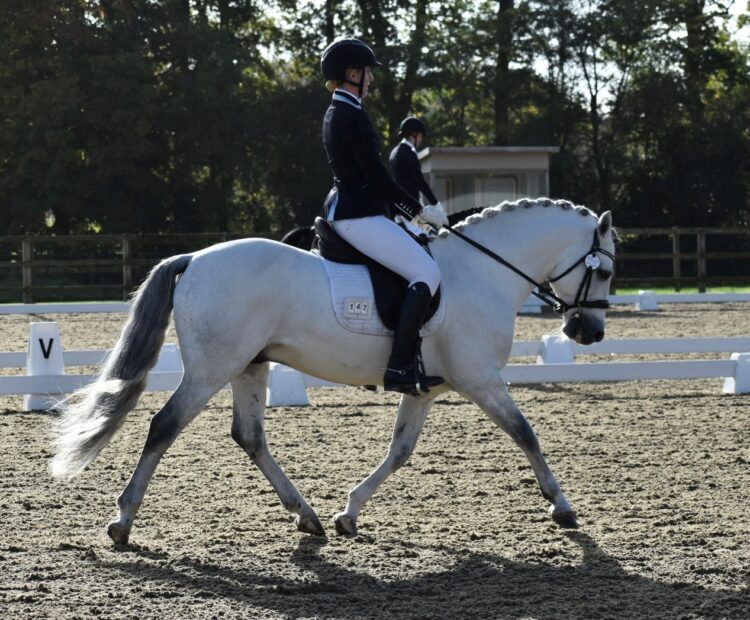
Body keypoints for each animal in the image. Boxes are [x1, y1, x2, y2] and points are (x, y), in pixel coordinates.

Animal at [50, 198, 616, 545]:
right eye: (606, 269)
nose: (588, 331)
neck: (482, 273)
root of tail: (194, 257)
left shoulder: (425, 390)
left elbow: (400, 451)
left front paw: (349, 513)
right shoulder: (480, 378)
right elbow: (525, 433)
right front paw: (562, 506)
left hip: (249, 365)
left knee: (249, 436)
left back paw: (308, 516)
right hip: (213, 368)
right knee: (164, 425)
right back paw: (122, 522)